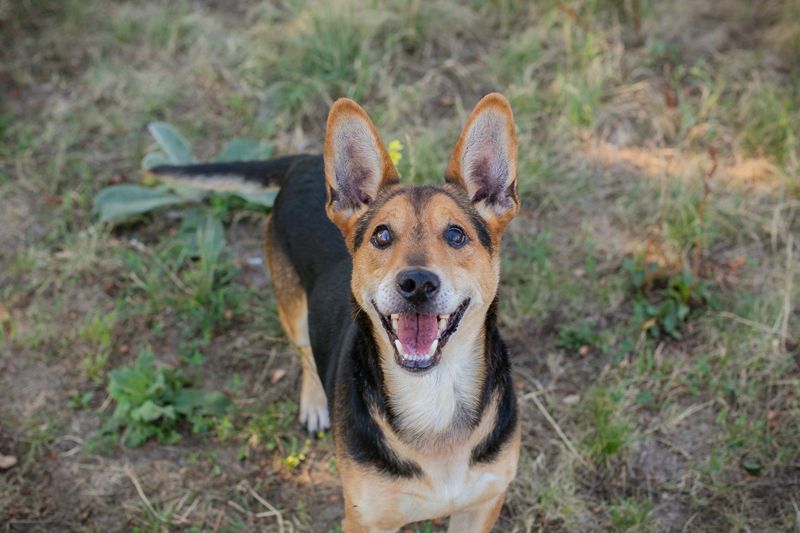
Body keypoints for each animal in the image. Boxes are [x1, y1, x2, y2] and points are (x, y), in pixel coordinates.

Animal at [150, 93, 521, 531]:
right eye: (382, 235)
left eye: (456, 235)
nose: (416, 284)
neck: (434, 396)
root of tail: (305, 162)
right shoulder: (365, 519)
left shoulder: (483, 504)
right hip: (292, 307)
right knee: (305, 353)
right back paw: (314, 405)